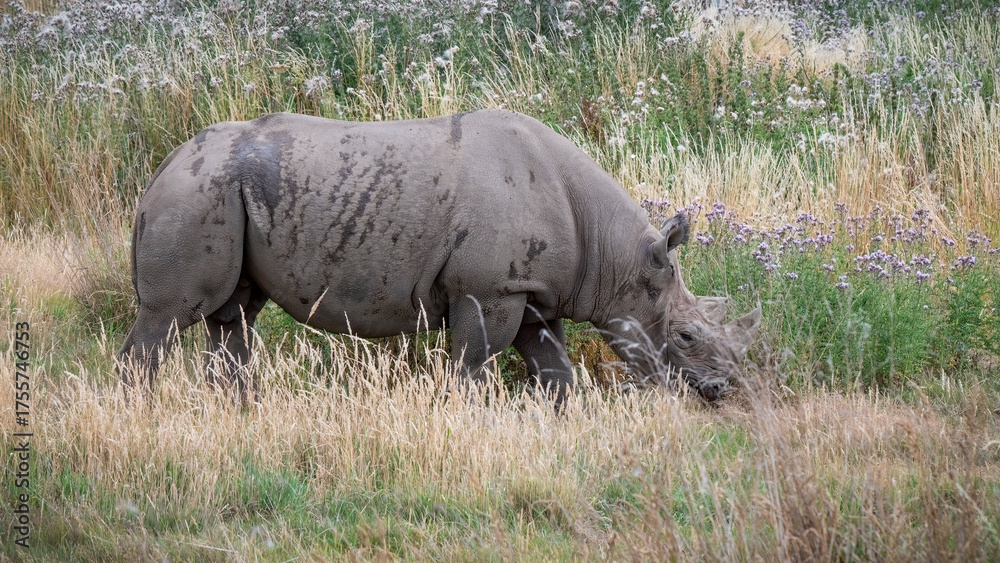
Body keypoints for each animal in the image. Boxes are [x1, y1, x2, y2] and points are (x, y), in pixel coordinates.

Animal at [116, 109, 761, 405]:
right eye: (686, 337)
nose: (720, 392)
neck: (614, 252)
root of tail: (159, 171)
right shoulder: (489, 290)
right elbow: (473, 366)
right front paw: (466, 419)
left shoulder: (532, 293)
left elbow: (555, 370)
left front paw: (558, 422)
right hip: (196, 194)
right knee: (171, 316)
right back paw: (142, 415)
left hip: (219, 192)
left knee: (233, 316)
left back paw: (237, 413)